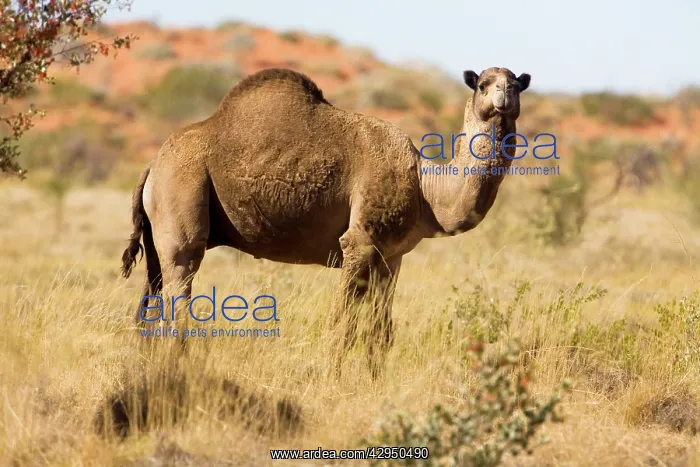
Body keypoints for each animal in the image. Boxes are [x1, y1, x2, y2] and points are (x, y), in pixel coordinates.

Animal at [121, 66, 531, 378]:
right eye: (483, 83)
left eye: (516, 83)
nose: (503, 95)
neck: (424, 187)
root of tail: (152, 166)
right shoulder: (359, 243)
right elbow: (342, 326)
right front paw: (331, 380)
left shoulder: (392, 257)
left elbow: (380, 332)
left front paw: (374, 383)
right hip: (182, 194)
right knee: (178, 293)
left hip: (158, 234)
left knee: (149, 302)